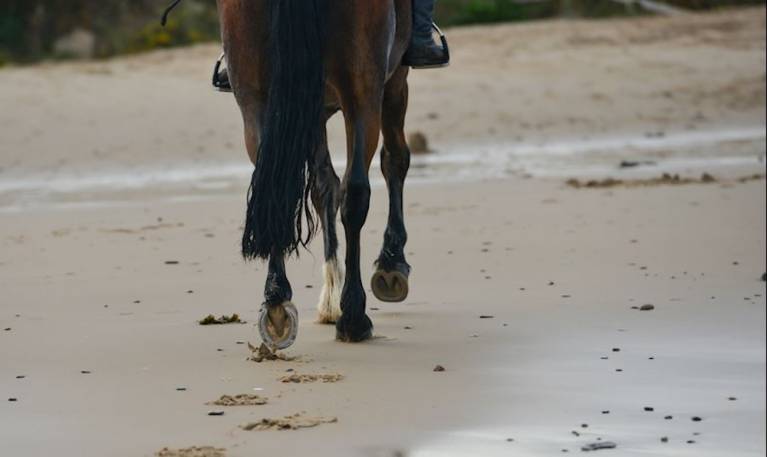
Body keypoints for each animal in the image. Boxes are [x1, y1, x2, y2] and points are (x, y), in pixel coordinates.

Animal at [216, 0, 414, 346]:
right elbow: (393, 161)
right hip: (364, 87)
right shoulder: (393, 78)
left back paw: (277, 303)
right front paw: (392, 261)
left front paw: (329, 294)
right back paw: (353, 315)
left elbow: (324, 186)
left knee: (276, 193)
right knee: (359, 190)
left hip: (253, 91)